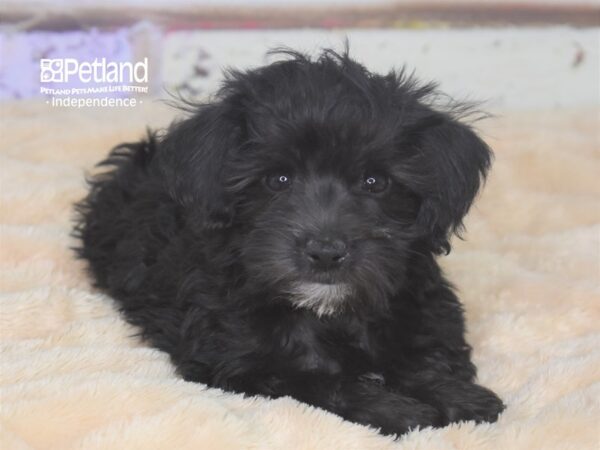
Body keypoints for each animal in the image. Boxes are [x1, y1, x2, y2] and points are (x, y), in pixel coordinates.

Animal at [76, 49, 506, 436]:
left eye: (375, 182)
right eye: (277, 180)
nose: (326, 253)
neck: (327, 312)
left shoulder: (424, 308)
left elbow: (424, 354)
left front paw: (458, 396)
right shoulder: (239, 364)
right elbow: (316, 381)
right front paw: (395, 409)